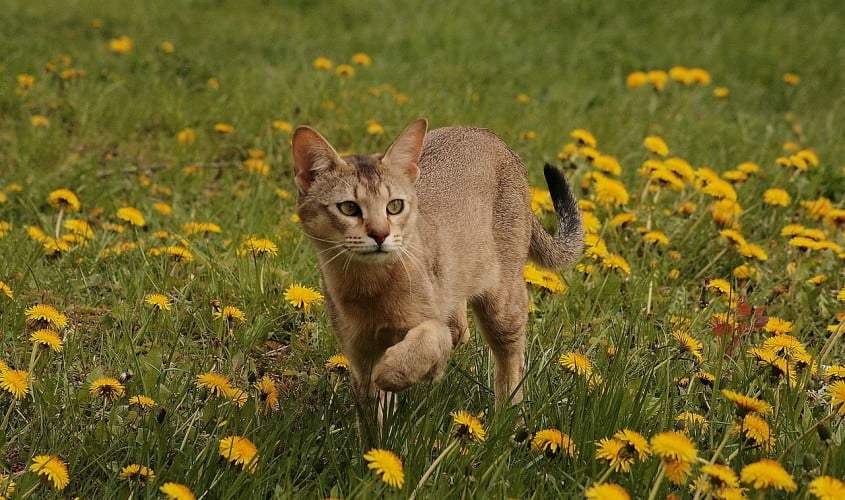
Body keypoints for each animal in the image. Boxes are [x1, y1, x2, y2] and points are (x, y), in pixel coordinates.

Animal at [290, 119, 580, 436]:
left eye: (394, 206)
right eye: (348, 208)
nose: (380, 234)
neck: (371, 289)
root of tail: (487, 134)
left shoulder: (426, 330)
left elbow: (426, 342)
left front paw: (393, 371)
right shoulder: (358, 355)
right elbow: (372, 420)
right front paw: (377, 447)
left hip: (503, 304)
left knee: (509, 359)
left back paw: (509, 423)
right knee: (461, 328)